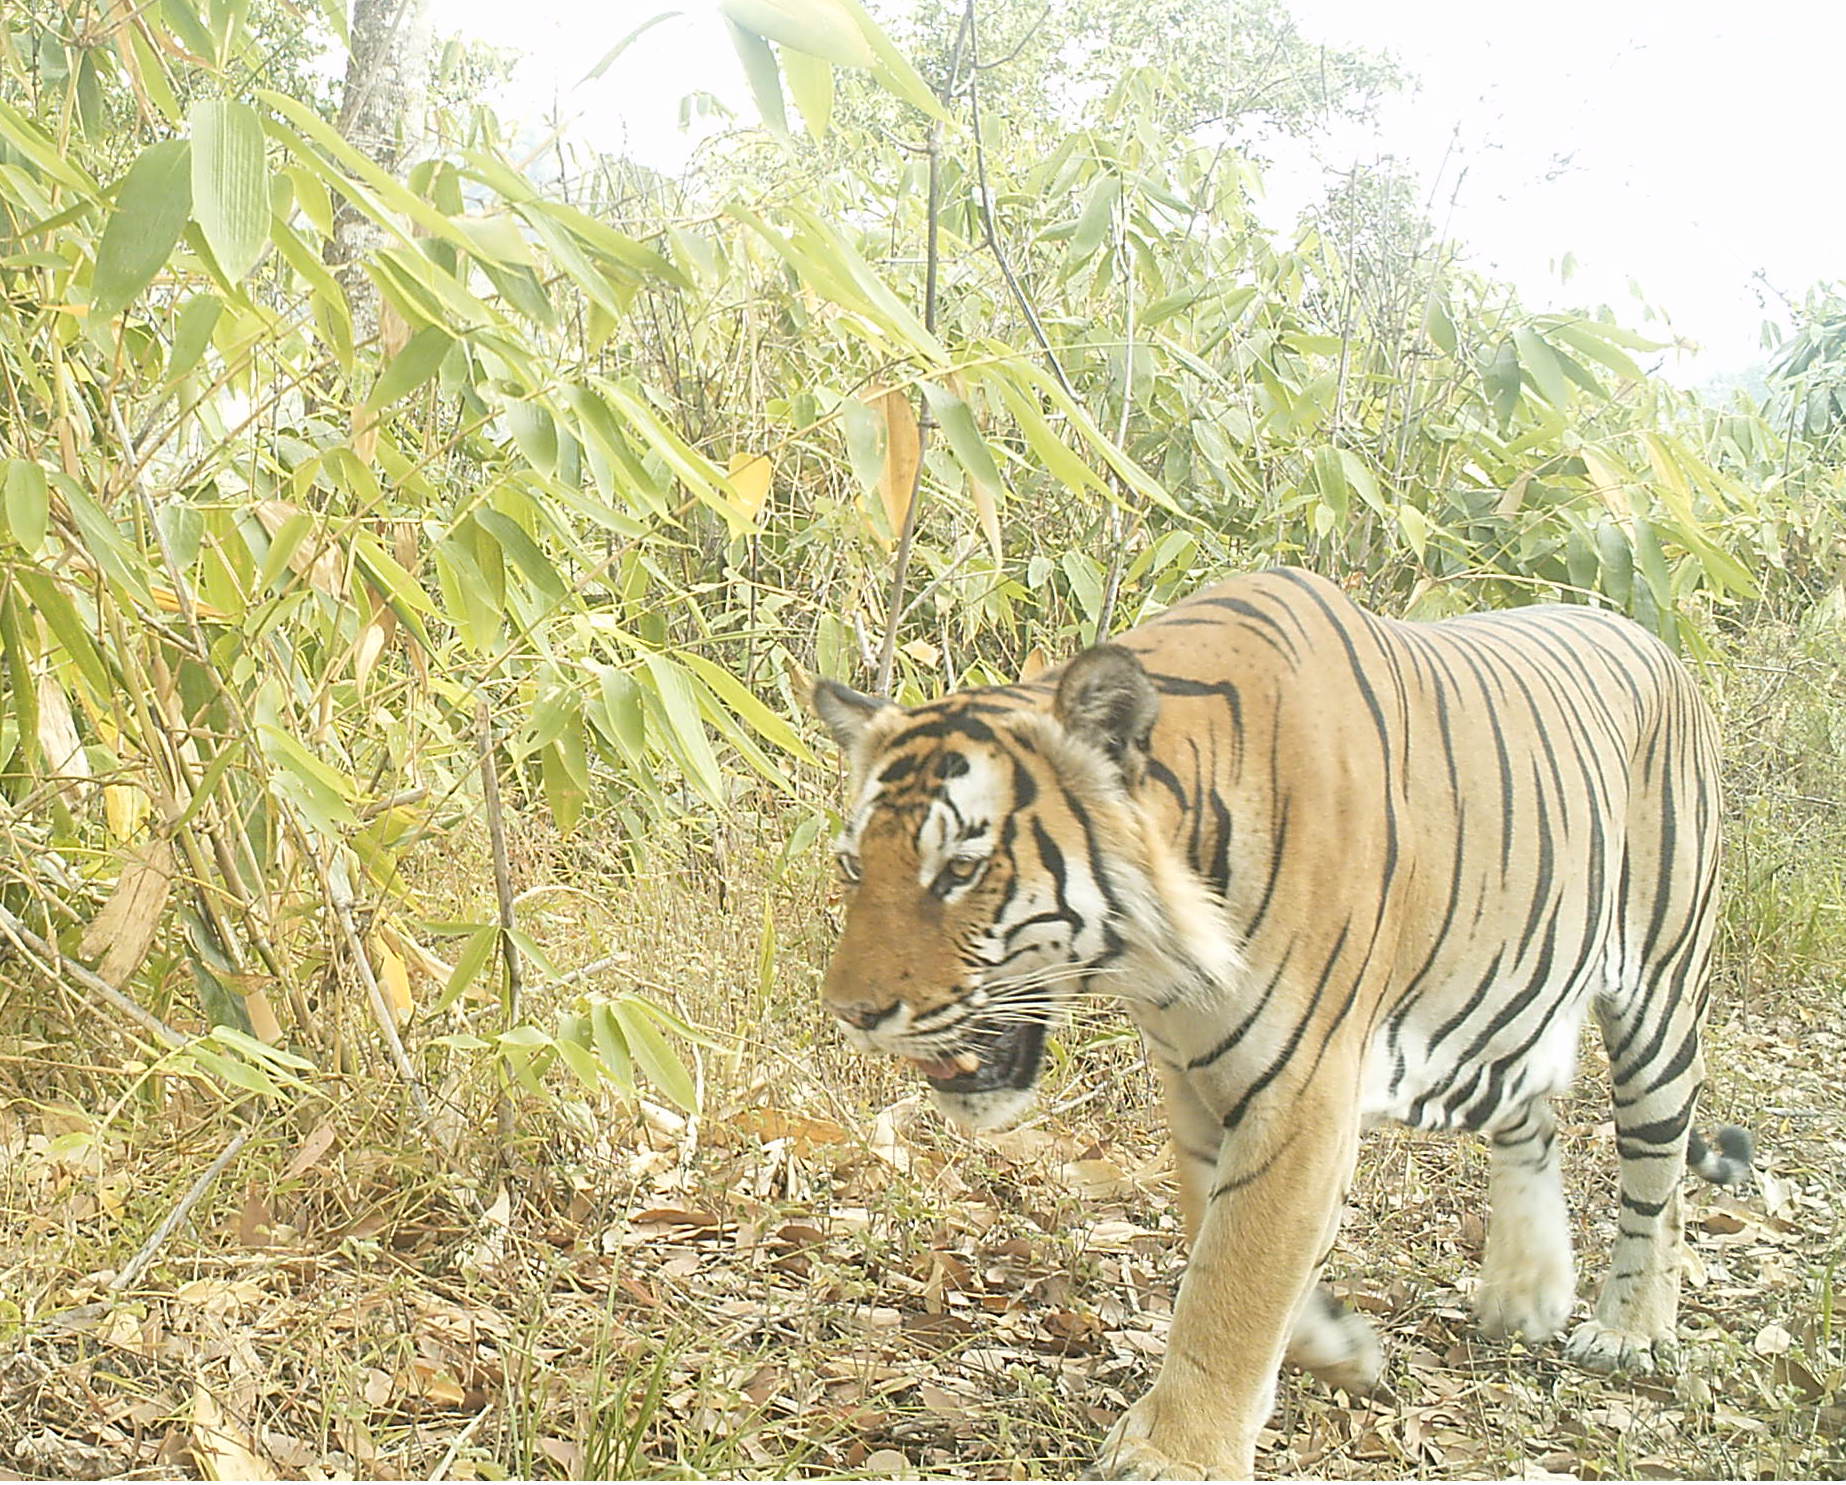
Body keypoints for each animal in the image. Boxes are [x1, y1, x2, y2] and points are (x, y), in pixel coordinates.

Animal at [804, 565, 1742, 1470]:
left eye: (961, 869)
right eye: (854, 866)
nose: (848, 1010)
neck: (1166, 963)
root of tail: (1652, 639)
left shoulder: (1303, 1089)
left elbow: (1237, 1274)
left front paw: (1178, 1452)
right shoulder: (1196, 1079)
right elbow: (1215, 1231)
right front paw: (1335, 1349)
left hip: (1659, 996)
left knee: (1660, 1177)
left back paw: (1629, 1330)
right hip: (1491, 1004)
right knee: (1532, 1112)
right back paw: (1527, 1293)